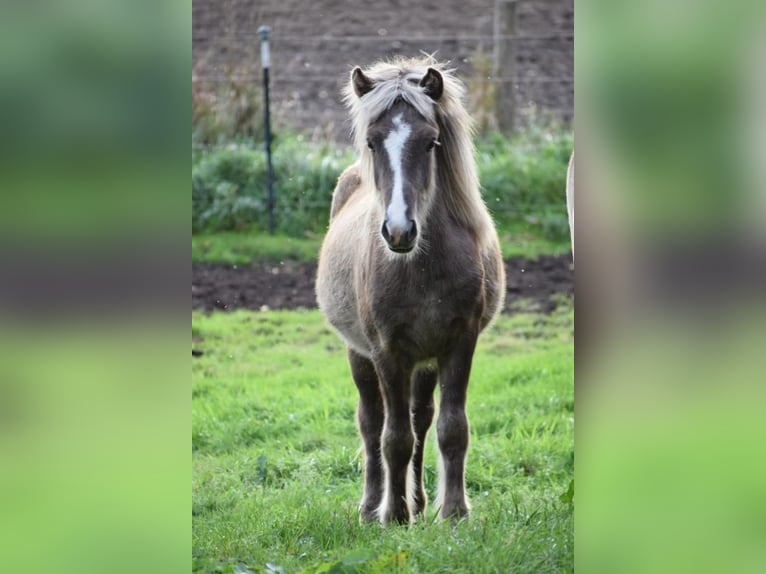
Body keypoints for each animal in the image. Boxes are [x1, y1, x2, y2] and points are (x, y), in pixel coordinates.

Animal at [316, 57, 508, 528]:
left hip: (425, 361)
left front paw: (453, 512)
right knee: (371, 422)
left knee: (422, 419)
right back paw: (372, 506)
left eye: (430, 143)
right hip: (360, 355)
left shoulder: (459, 342)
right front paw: (395, 515)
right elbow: (393, 437)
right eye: (371, 142)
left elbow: (451, 428)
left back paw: (420, 501)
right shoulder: (387, 351)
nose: (399, 231)